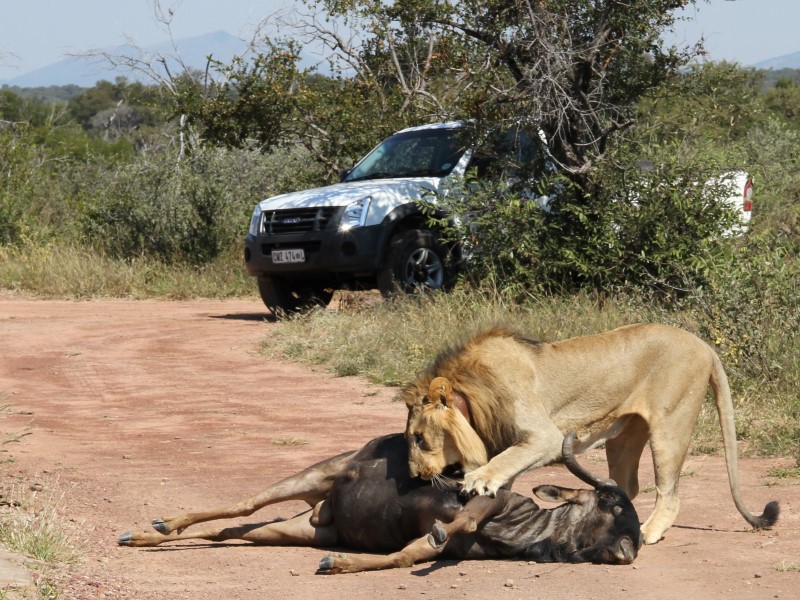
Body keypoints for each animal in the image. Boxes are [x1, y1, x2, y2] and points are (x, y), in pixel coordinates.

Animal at [404, 324, 780, 544]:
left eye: (419, 438)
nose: (415, 474)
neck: (472, 393)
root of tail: (705, 346)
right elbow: (505, 478)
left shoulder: (544, 437)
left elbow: (502, 462)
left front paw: (478, 480)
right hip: (624, 437)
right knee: (627, 486)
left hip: (670, 426)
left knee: (669, 495)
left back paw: (647, 533)